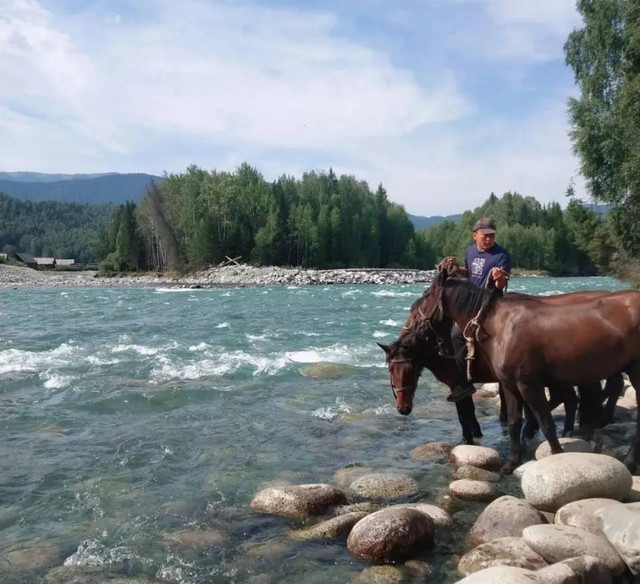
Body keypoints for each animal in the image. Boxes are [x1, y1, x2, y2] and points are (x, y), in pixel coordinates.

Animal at [411, 268, 640, 473]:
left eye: (427, 295)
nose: (412, 322)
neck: (499, 327)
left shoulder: (529, 385)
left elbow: (546, 423)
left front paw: (557, 456)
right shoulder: (510, 385)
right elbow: (514, 423)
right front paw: (512, 462)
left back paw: (628, 460)